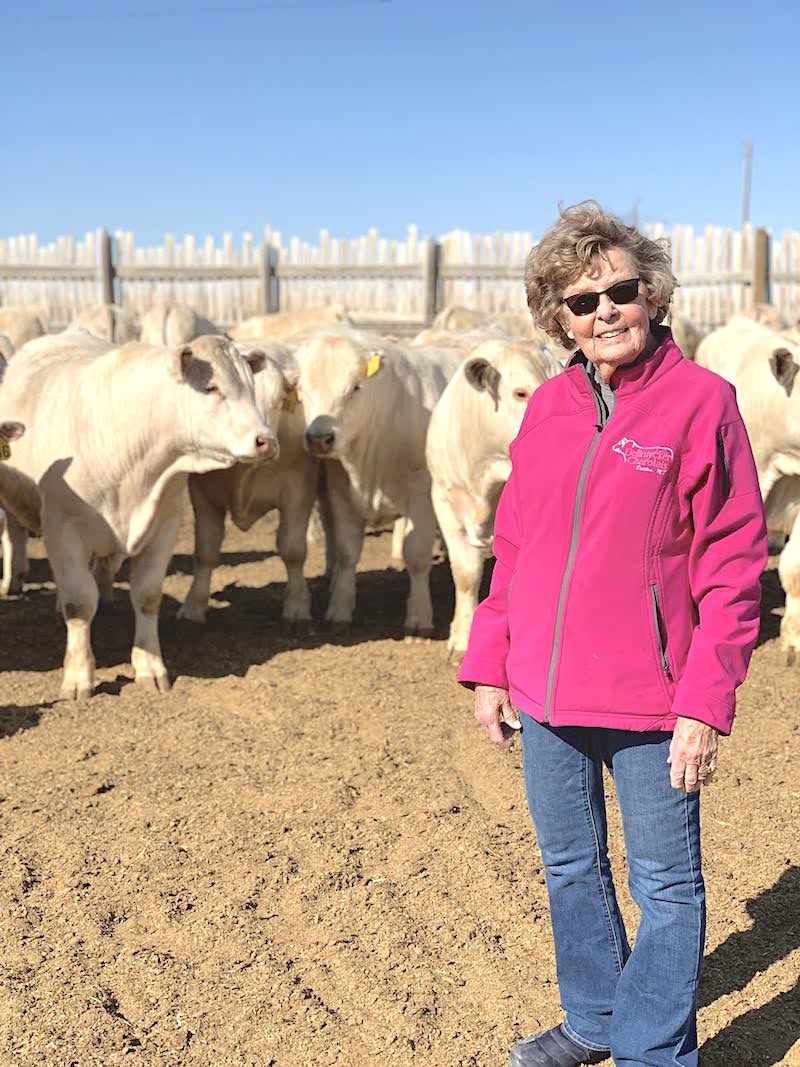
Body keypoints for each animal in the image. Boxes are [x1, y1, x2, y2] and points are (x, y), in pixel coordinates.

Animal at [0, 335, 279, 699]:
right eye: (211, 387)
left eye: (250, 385)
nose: (267, 441)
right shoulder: (63, 529)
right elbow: (79, 602)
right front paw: (78, 676)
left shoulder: (164, 526)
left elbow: (147, 596)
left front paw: (150, 667)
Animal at [180, 339, 322, 623]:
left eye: (279, 400)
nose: (266, 442)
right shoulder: (202, 495)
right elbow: (205, 551)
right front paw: (193, 606)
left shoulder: (299, 490)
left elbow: (293, 549)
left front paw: (297, 605)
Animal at [296, 328, 460, 631]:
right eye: (302, 389)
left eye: (355, 388)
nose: (319, 438)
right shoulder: (340, 490)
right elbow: (346, 552)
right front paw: (339, 608)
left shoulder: (422, 493)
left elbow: (417, 555)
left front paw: (419, 616)